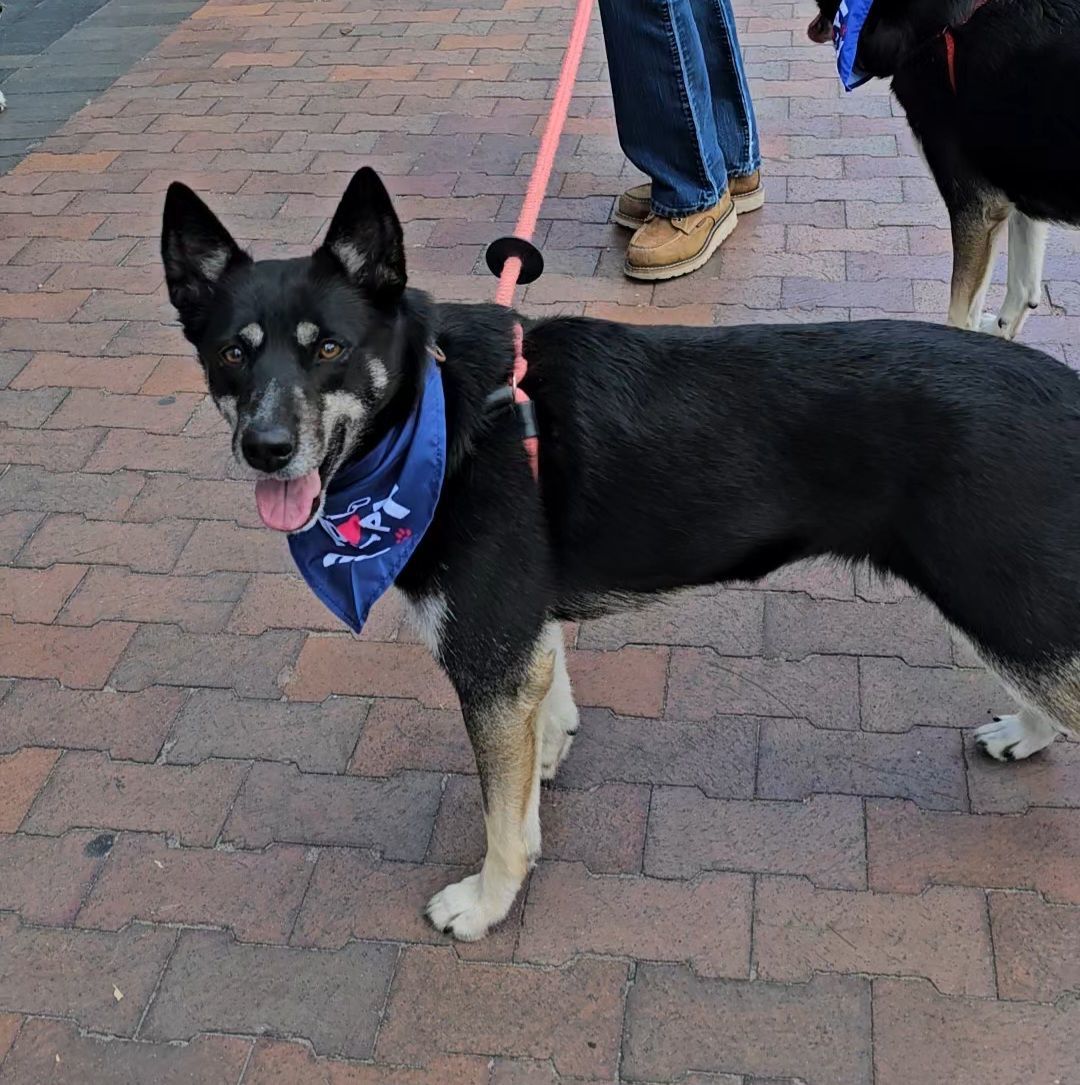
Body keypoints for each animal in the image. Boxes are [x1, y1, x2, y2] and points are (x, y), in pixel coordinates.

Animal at [160, 169, 1080, 941]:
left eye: (329, 348)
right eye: (233, 352)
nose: (266, 449)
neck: (439, 411)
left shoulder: (487, 654)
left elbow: (500, 817)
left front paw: (489, 900)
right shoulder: (521, 636)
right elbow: (542, 729)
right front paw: (548, 758)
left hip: (1006, 599)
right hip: (1014, 607)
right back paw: (1025, 734)